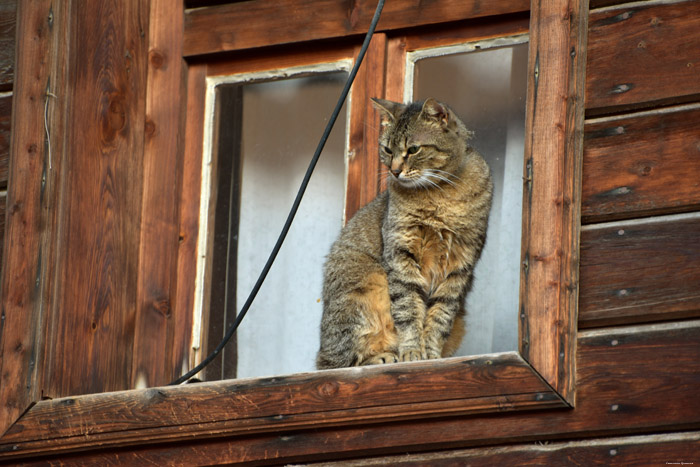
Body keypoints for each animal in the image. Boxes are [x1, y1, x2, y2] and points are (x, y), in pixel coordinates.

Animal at [318, 98, 492, 370]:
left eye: (413, 149)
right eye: (388, 150)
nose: (394, 171)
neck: (440, 194)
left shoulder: (460, 265)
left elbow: (440, 316)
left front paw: (430, 354)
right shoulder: (401, 254)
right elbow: (409, 309)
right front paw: (412, 352)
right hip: (361, 290)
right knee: (339, 361)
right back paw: (382, 356)